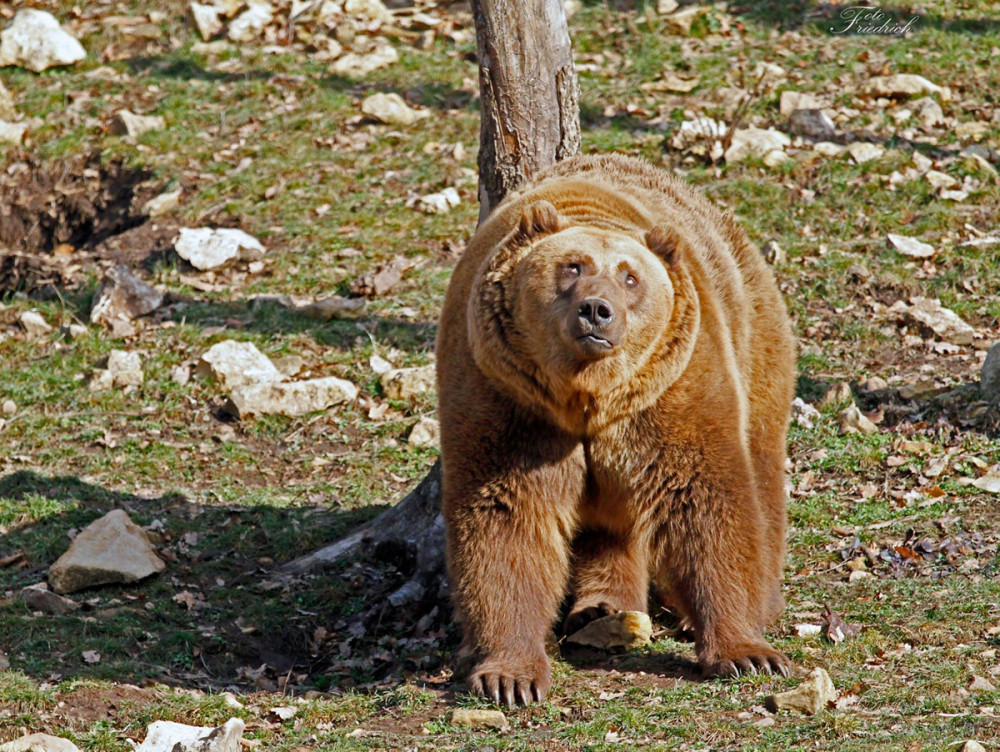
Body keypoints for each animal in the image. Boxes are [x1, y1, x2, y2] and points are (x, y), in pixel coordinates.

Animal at [438, 153, 796, 704]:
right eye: (572, 266)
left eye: (630, 278)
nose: (596, 310)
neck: (586, 397)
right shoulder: (507, 396)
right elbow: (507, 519)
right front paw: (510, 677)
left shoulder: (672, 389)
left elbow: (706, 501)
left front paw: (745, 652)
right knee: (609, 525)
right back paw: (602, 606)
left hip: (753, 337)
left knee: (759, 466)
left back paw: (759, 601)